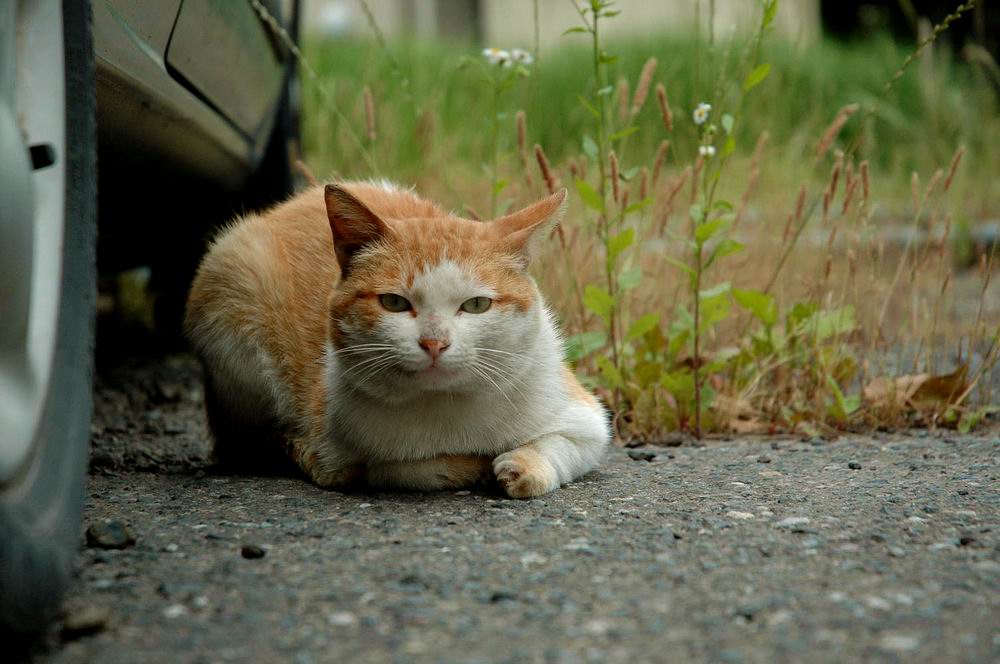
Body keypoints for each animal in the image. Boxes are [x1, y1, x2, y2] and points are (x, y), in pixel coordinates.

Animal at [187, 182, 608, 498]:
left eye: (476, 305)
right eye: (393, 302)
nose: (434, 343)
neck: (445, 408)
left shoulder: (586, 419)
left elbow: (560, 444)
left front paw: (521, 465)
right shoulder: (345, 451)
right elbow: (408, 469)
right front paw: (470, 466)